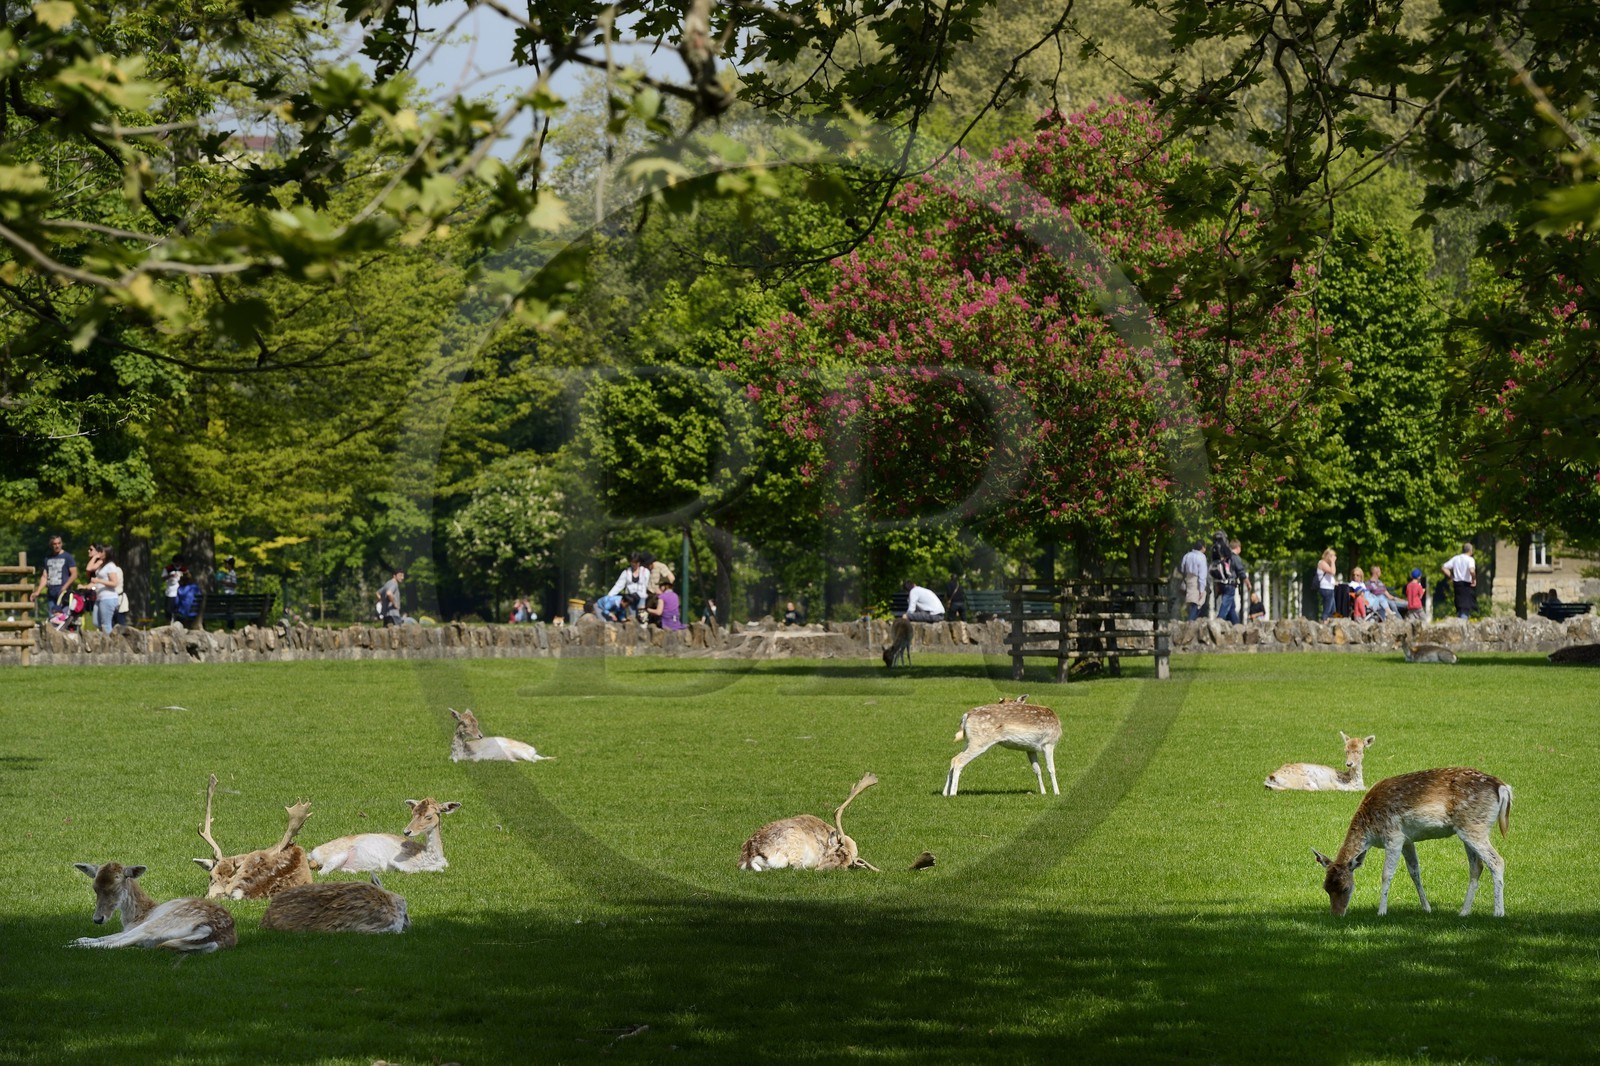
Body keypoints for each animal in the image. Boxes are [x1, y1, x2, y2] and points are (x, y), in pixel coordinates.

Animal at [69, 862, 237, 953]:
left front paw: (78, 941)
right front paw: (80, 938)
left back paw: (72, 946)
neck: (136, 916)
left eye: (116, 887)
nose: (98, 919)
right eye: (95, 888)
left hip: (161, 923)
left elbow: (112, 937)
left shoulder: (133, 926)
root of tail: (212, 931)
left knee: (117, 943)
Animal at [308, 798, 461, 874]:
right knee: (322, 872)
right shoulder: (396, 861)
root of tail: (312, 853)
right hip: (337, 855)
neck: (431, 857)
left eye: (428, 816)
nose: (407, 831)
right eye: (413, 813)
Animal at [738, 773, 881, 871]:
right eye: (838, 852)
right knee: (796, 867)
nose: (821, 869)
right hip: (794, 845)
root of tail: (749, 857)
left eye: (846, 865)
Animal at [1312, 767, 1513, 917]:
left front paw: (1381, 911)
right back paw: (1464, 912)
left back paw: (1498, 912)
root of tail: (1503, 788)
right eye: (1326, 888)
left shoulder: (1393, 836)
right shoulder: (1407, 840)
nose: (1336, 915)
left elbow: (1386, 874)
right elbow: (1415, 872)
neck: (1370, 831)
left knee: (1497, 861)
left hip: (1475, 826)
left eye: (1346, 888)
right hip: (1467, 830)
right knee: (1476, 866)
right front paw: (1427, 908)